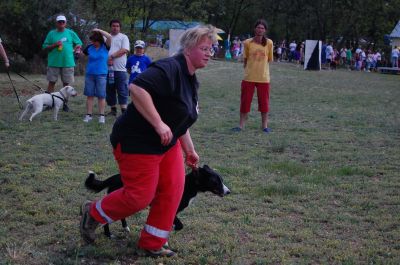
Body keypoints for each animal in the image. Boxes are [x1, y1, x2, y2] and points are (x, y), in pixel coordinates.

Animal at [86, 164, 230, 236]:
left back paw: (125, 228)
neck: (188, 184)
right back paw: (108, 234)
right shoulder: (171, 208)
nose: (229, 191)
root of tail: (114, 177)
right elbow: (179, 225)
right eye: (215, 182)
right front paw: (172, 228)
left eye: (221, 180)